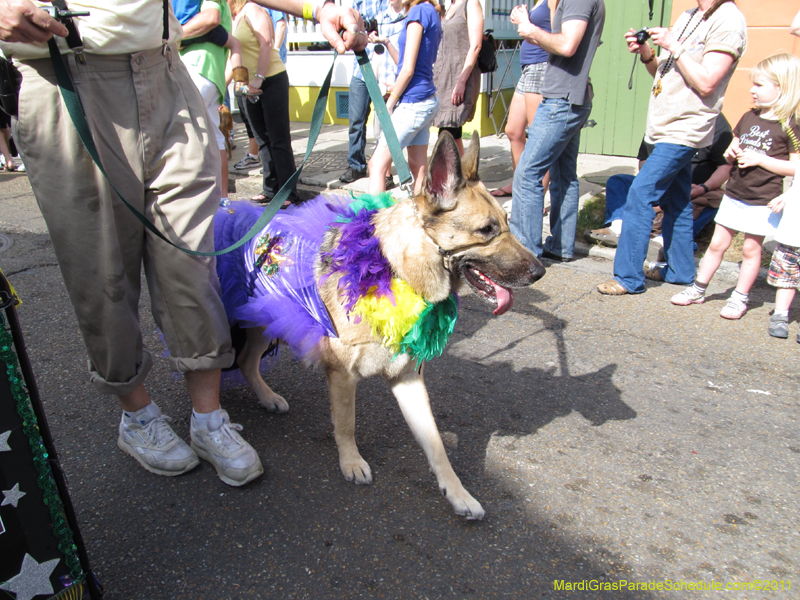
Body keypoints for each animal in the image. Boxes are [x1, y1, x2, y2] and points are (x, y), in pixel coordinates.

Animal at [219, 132, 544, 520]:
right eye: (486, 231)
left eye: (507, 224)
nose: (541, 271)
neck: (395, 269)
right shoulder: (342, 376)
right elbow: (346, 425)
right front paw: (351, 462)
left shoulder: (408, 380)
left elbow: (436, 443)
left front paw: (457, 493)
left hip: (261, 321)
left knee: (246, 362)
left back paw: (267, 397)